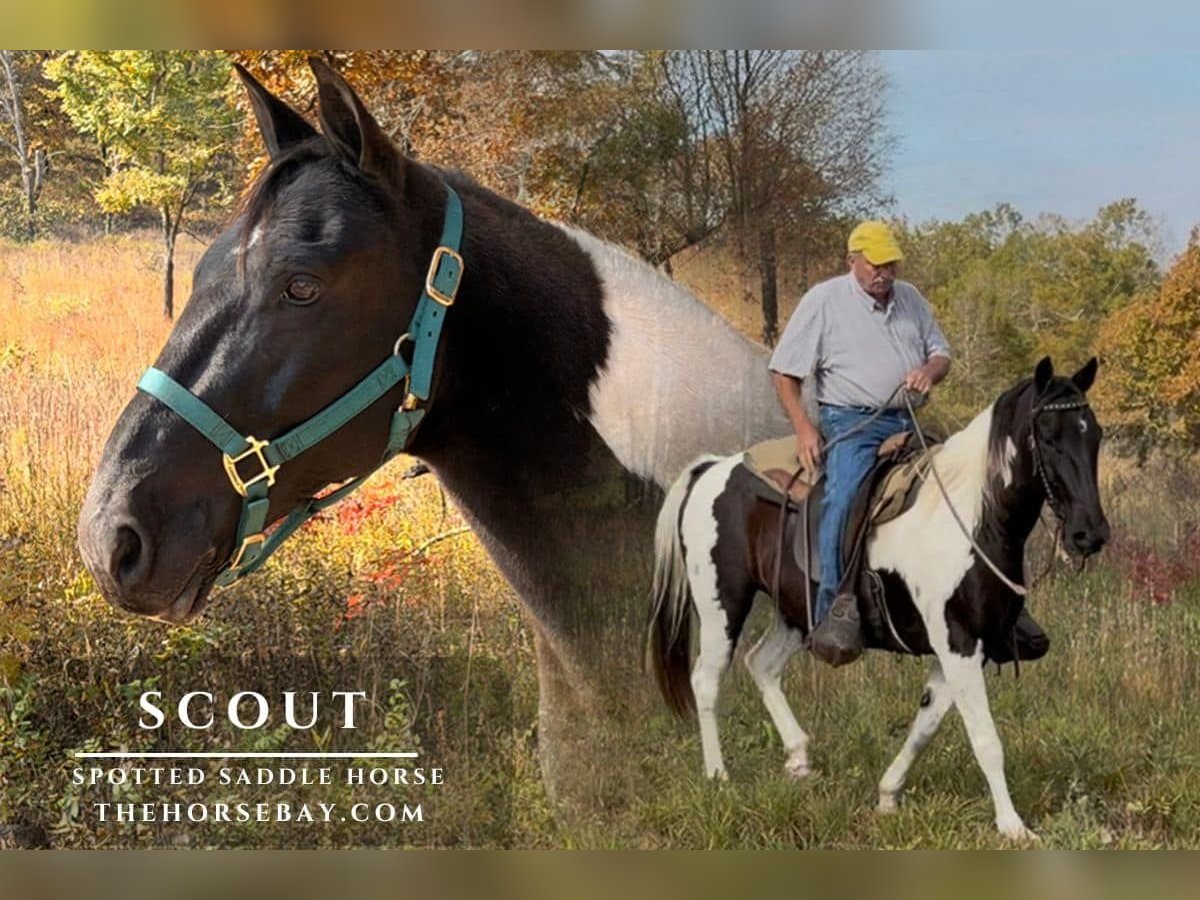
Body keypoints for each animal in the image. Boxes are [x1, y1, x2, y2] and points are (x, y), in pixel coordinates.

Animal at [647, 357, 1110, 840]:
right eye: (1049, 437)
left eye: (1094, 434)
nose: (1089, 534)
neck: (972, 518)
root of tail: (714, 467)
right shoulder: (958, 641)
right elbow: (985, 738)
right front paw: (1012, 825)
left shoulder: (968, 649)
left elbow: (926, 723)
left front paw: (888, 795)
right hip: (721, 603)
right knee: (707, 679)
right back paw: (718, 776)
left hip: (795, 614)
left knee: (763, 664)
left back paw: (799, 758)